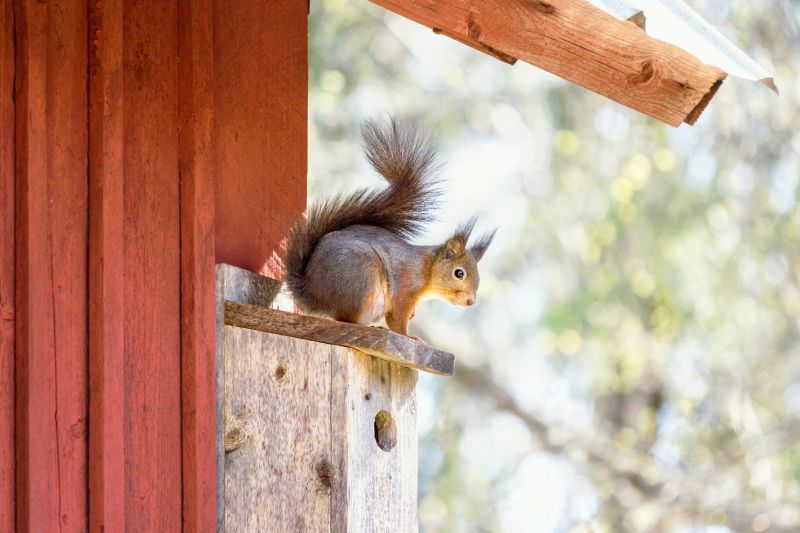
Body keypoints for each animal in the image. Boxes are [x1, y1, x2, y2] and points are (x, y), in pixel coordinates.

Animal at [285, 116, 495, 336]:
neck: (427, 269)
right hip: (360, 277)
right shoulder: (405, 285)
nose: (470, 301)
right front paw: (410, 338)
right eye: (459, 273)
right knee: (346, 318)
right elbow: (397, 318)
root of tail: (311, 293)